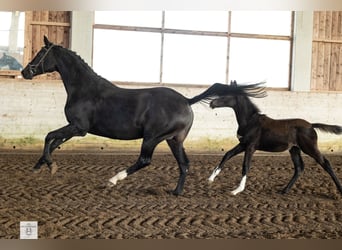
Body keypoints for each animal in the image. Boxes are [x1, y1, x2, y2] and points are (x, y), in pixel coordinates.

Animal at [21, 36, 264, 195]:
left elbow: (49, 136)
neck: (85, 89)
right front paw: (41, 166)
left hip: (152, 138)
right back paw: (176, 192)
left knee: (145, 160)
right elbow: (54, 142)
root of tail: (186, 101)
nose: (25, 72)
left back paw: (113, 180)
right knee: (184, 164)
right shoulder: (76, 128)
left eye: (40, 53)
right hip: (174, 140)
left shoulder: (78, 127)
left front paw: (48, 166)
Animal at [208, 81, 342, 196]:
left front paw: (237, 190)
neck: (250, 121)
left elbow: (245, 165)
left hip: (309, 148)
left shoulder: (251, 146)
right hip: (294, 149)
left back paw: (339, 189)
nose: (211, 103)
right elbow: (227, 154)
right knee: (299, 168)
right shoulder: (243, 144)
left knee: (326, 163)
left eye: (227, 95)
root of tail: (311, 125)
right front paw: (210, 178)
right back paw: (284, 190)